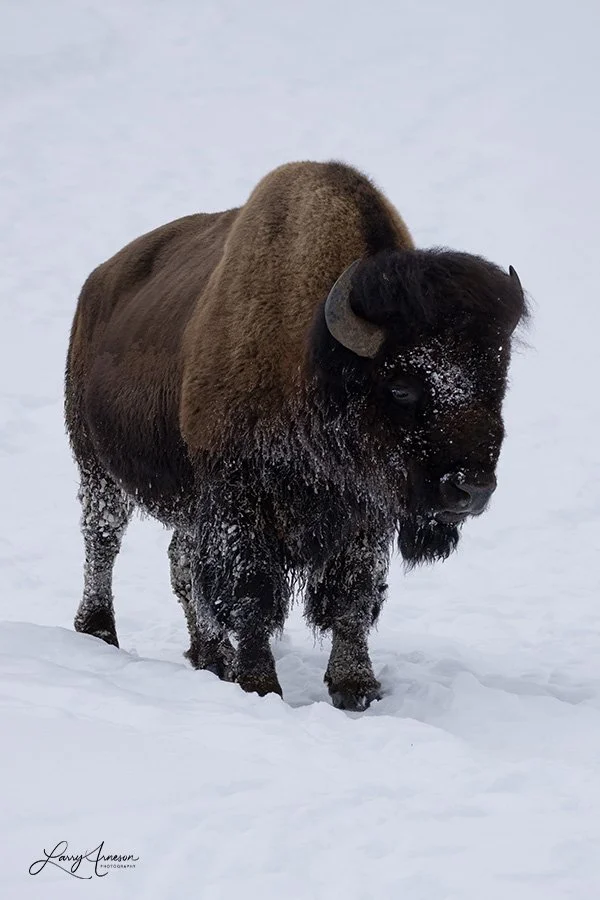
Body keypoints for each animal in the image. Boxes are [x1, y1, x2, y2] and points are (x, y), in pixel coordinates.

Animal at [65, 161, 527, 710]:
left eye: (498, 382)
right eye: (401, 386)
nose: (470, 489)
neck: (312, 357)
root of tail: (97, 284)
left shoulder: (365, 513)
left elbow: (353, 597)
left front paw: (356, 687)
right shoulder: (240, 498)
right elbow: (253, 595)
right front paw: (259, 683)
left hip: (186, 499)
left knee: (181, 562)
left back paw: (210, 655)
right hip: (94, 462)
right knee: (103, 539)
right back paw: (99, 631)